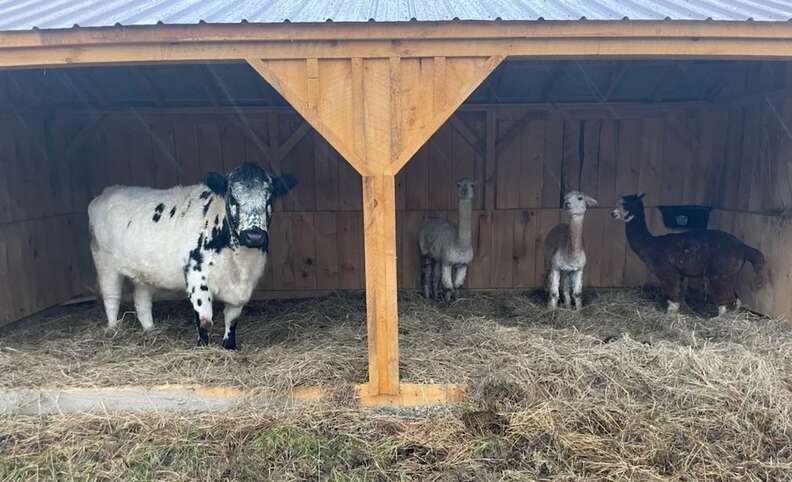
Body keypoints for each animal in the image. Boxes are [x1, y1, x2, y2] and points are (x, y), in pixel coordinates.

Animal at [87, 164, 296, 348]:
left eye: (270, 198)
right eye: (232, 198)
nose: (254, 235)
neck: (239, 261)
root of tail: (106, 192)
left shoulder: (245, 286)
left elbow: (232, 320)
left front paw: (230, 346)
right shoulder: (196, 276)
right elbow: (204, 320)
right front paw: (202, 347)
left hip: (143, 271)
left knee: (142, 301)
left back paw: (150, 330)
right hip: (104, 263)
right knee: (112, 297)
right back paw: (113, 330)